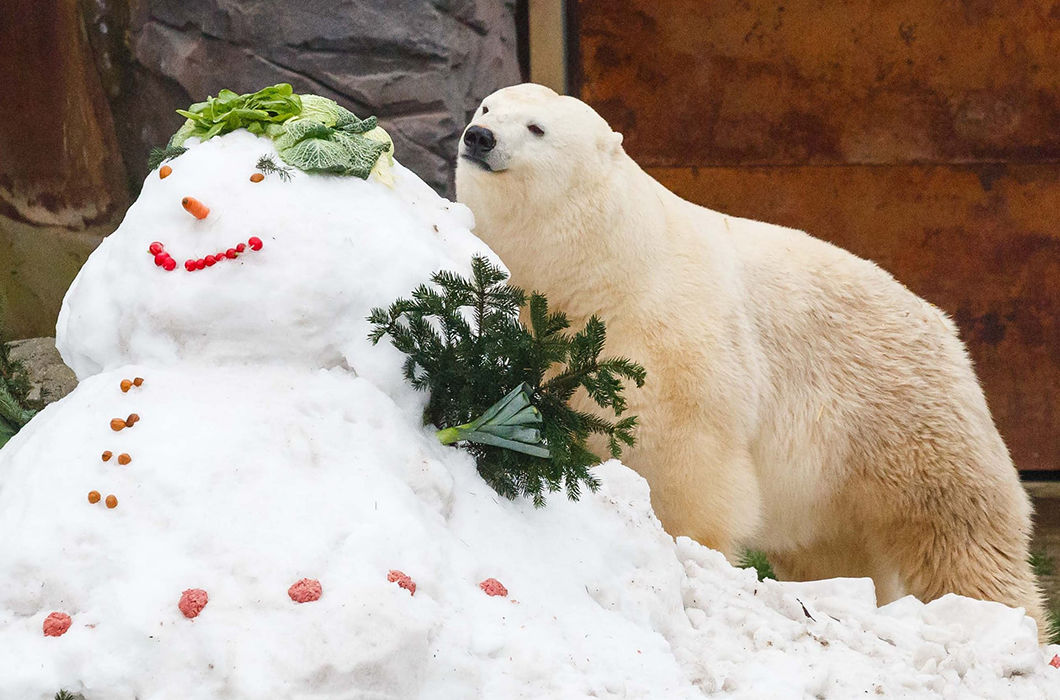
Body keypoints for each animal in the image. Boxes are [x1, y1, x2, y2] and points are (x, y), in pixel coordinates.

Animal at [453, 82, 1043, 636]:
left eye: (537, 128)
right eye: (486, 108)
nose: (479, 138)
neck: (596, 267)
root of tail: (944, 327)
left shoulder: (662, 331)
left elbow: (678, 455)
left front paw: (684, 548)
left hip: (904, 418)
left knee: (958, 531)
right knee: (833, 551)